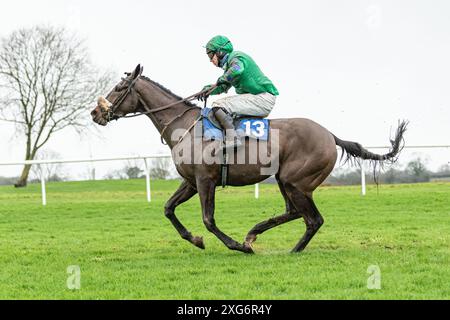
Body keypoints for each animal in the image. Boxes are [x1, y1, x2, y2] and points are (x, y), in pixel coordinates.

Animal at [91, 65, 408, 254]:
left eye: (118, 89)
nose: (96, 113)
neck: (185, 126)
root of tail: (330, 135)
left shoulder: (205, 181)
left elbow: (208, 219)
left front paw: (235, 246)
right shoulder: (191, 181)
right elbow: (168, 209)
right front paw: (196, 240)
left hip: (296, 181)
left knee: (312, 219)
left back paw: (289, 249)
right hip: (284, 179)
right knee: (295, 212)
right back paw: (254, 233)